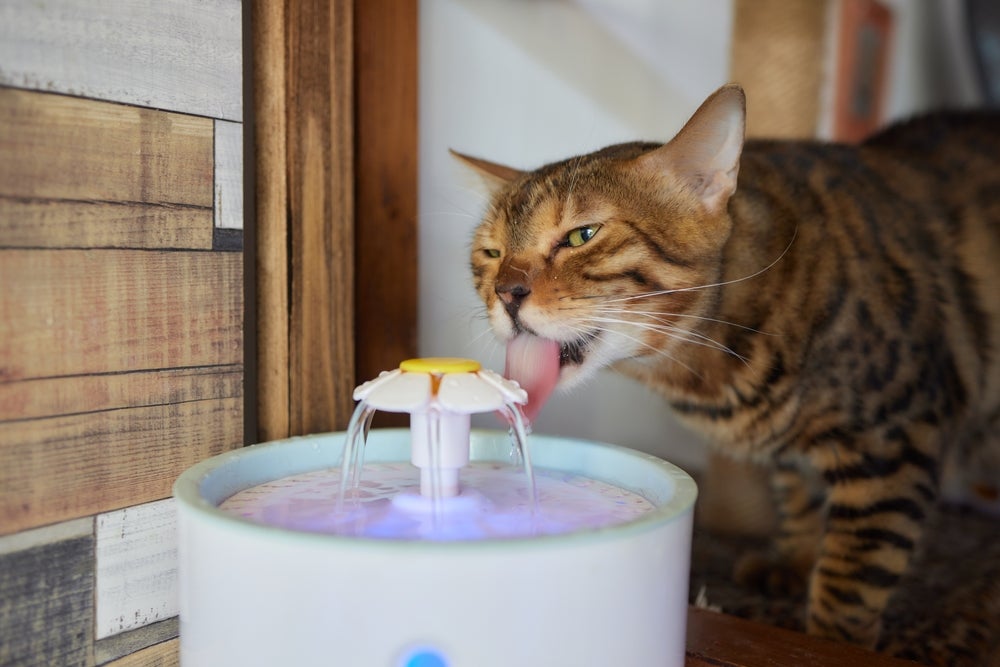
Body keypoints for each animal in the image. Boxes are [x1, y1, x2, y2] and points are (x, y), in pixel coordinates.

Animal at [458, 86, 1000, 656]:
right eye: (492, 252)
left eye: (583, 235)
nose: (506, 292)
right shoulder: (805, 455)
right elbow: (799, 493)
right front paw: (796, 558)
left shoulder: (891, 443)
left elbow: (849, 582)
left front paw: (829, 641)